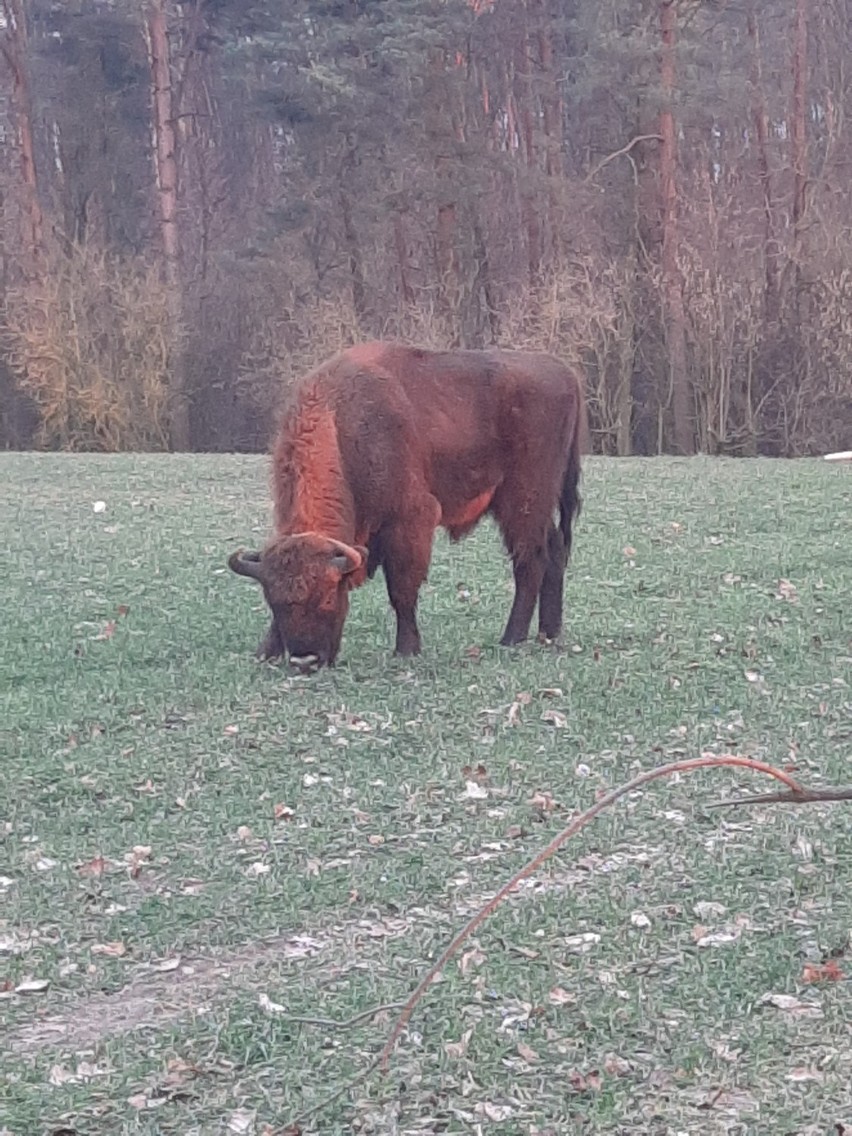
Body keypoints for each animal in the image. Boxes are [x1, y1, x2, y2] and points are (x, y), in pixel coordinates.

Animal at [230, 340, 586, 667]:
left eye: (329, 597)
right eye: (274, 602)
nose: (305, 661)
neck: (342, 423)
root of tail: (564, 372)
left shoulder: (409, 520)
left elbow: (401, 588)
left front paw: (406, 649)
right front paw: (265, 651)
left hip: (524, 499)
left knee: (530, 560)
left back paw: (511, 638)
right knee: (554, 549)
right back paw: (549, 633)